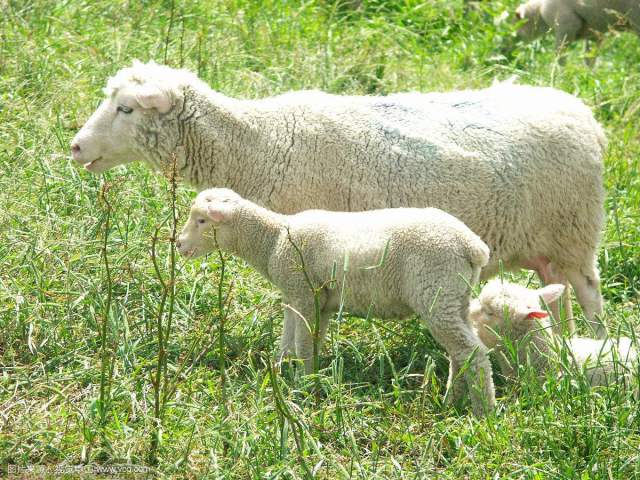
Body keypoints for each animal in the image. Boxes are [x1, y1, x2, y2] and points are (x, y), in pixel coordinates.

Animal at [71, 61, 608, 338]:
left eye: (125, 109)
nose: (75, 147)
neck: (261, 143)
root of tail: (583, 114)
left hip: (575, 232)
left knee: (590, 296)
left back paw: (596, 348)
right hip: (547, 247)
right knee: (556, 297)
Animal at [175, 188, 496, 416]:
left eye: (201, 220)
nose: (177, 243)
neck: (273, 240)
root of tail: (472, 245)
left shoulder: (303, 292)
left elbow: (303, 345)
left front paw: (303, 384)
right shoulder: (304, 298)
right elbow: (291, 342)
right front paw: (280, 375)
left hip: (436, 290)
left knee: (473, 352)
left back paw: (484, 412)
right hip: (456, 298)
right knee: (460, 353)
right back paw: (452, 401)